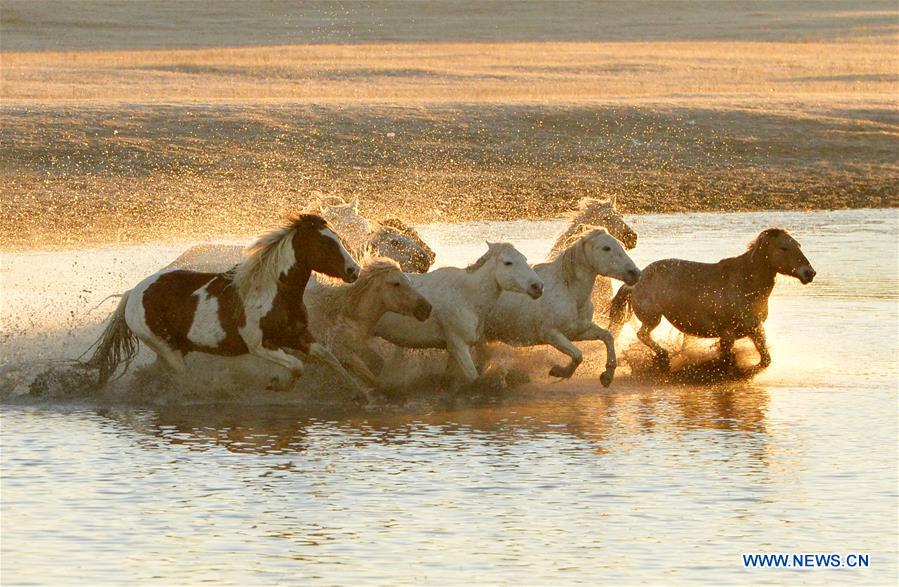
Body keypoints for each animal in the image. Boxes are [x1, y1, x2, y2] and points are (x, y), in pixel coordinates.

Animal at [306, 258, 432, 388]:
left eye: (410, 282)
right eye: (396, 283)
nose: (426, 308)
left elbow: (375, 373)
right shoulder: (341, 351)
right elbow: (356, 376)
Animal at [370, 241, 540, 384]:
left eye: (524, 258)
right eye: (508, 263)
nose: (538, 286)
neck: (466, 294)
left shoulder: (453, 350)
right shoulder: (460, 346)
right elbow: (473, 378)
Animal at [486, 230, 640, 390]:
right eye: (606, 248)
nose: (635, 273)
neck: (570, 294)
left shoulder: (576, 331)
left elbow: (607, 336)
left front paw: (607, 376)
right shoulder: (551, 334)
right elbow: (578, 355)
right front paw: (559, 371)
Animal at [612, 229, 816, 370]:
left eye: (798, 246)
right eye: (784, 248)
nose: (810, 273)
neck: (746, 283)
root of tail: (635, 282)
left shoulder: (754, 329)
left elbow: (765, 360)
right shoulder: (727, 334)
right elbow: (726, 360)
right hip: (653, 318)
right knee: (642, 334)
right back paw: (663, 356)